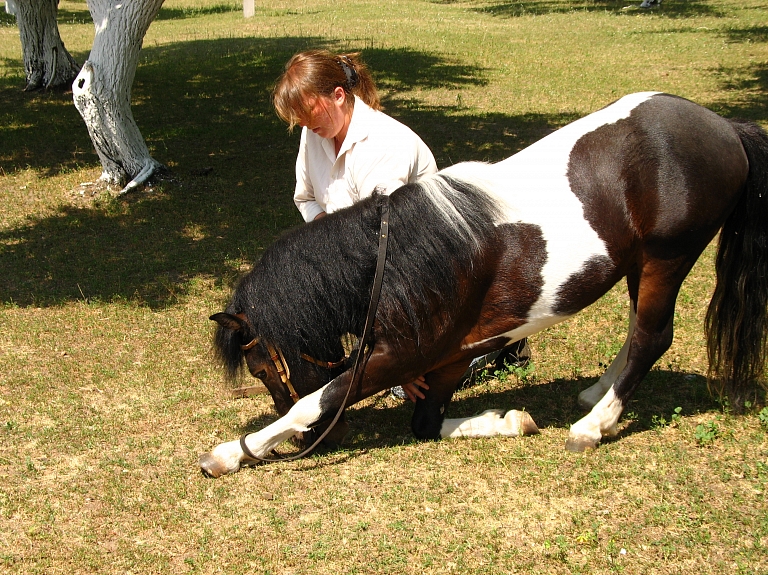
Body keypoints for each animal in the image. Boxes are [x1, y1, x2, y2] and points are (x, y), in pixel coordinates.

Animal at [201, 94, 768, 480]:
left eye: (259, 368)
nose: (325, 438)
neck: (395, 260)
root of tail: (726, 127)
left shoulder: (399, 355)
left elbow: (317, 399)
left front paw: (232, 453)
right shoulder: (449, 357)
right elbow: (426, 424)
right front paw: (511, 420)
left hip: (667, 258)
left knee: (653, 336)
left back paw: (595, 425)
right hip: (638, 263)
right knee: (636, 331)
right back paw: (596, 393)